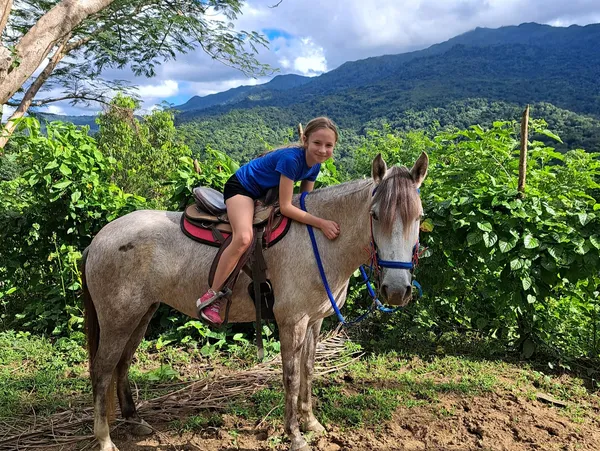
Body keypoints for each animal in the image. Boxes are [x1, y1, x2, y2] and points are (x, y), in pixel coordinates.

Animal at [82, 154, 428, 450]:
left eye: (419, 216)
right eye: (375, 215)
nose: (396, 289)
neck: (319, 239)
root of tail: (99, 239)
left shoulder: (315, 321)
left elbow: (309, 369)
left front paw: (311, 423)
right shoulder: (292, 322)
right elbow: (291, 375)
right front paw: (295, 435)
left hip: (141, 314)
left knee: (122, 364)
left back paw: (134, 420)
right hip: (118, 319)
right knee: (102, 369)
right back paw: (104, 439)